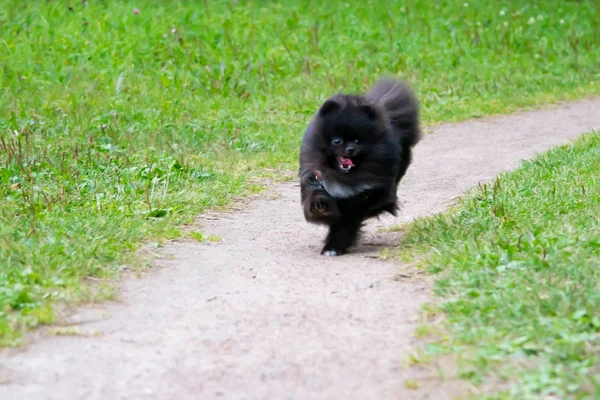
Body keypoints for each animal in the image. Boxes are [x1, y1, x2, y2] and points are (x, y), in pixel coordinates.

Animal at [298, 76, 420, 255]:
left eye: (357, 140)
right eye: (337, 140)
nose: (350, 149)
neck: (344, 177)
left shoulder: (370, 193)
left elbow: (347, 222)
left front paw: (334, 246)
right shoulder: (316, 178)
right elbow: (316, 197)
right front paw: (320, 205)